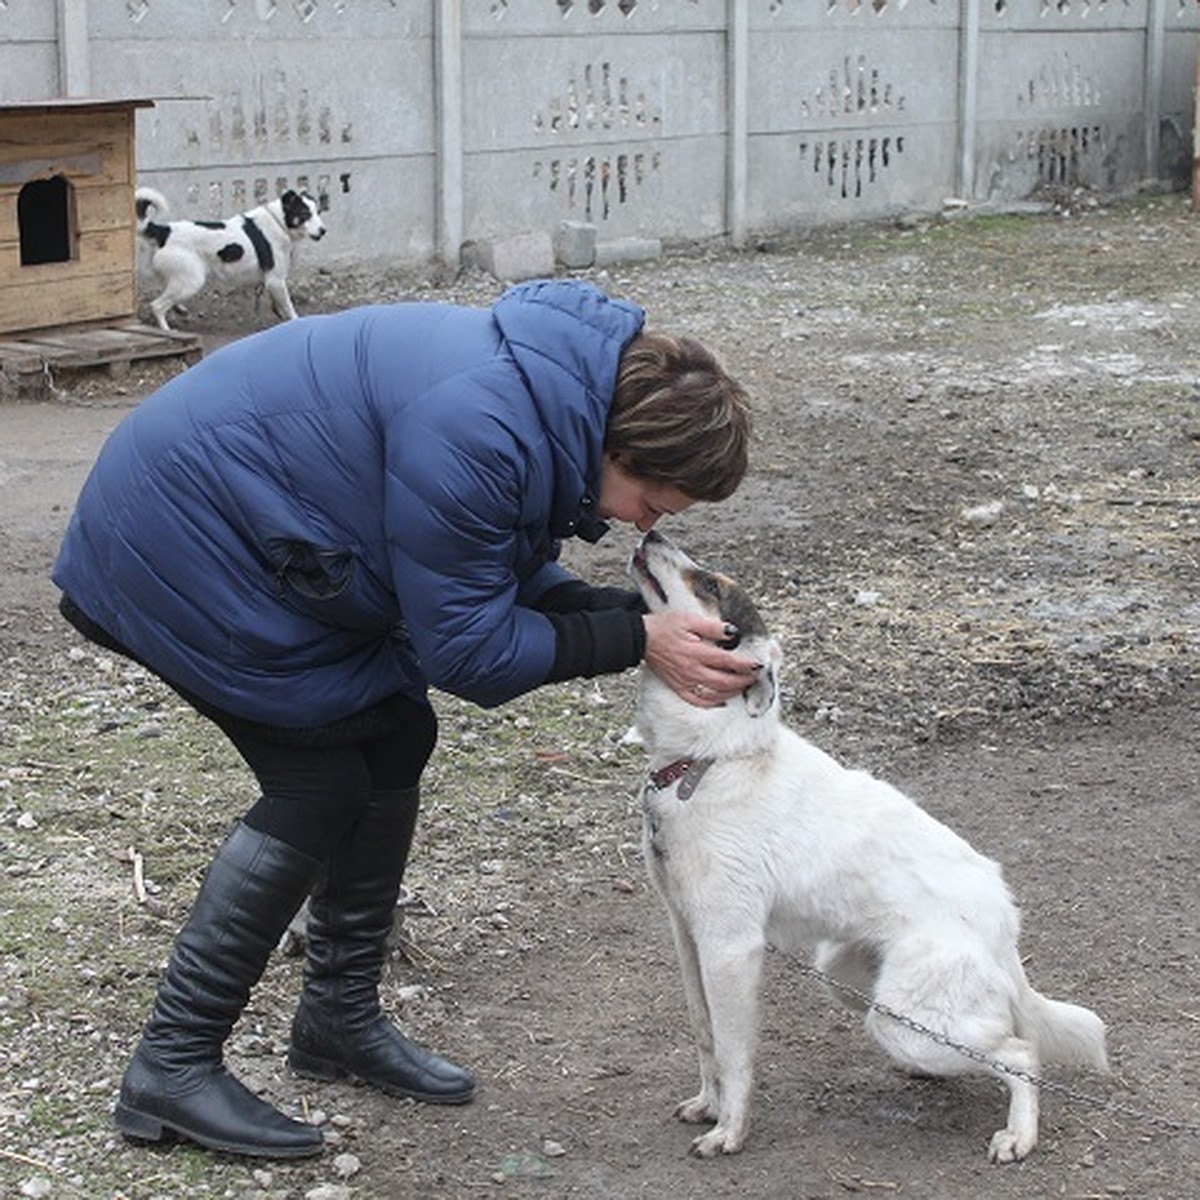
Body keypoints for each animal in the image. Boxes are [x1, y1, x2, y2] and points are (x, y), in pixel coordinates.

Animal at [135, 184, 326, 331]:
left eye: (318, 212)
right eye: (305, 214)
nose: (324, 231)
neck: (278, 221)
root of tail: (165, 231)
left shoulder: (273, 282)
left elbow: (279, 305)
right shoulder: (275, 280)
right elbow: (289, 307)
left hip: (180, 279)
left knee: (168, 294)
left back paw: (179, 309)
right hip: (192, 281)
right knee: (157, 306)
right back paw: (167, 330)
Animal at [628, 532, 1104, 1161]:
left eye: (709, 585)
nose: (651, 533)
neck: (713, 759)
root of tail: (1002, 921)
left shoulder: (730, 947)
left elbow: (733, 1053)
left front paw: (729, 1131)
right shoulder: (686, 933)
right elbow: (704, 1036)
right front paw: (708, 1106)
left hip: (900, 1016)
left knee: (1020, 1052)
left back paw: (1018, 1135)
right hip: (850, 979)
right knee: (990, 1040)